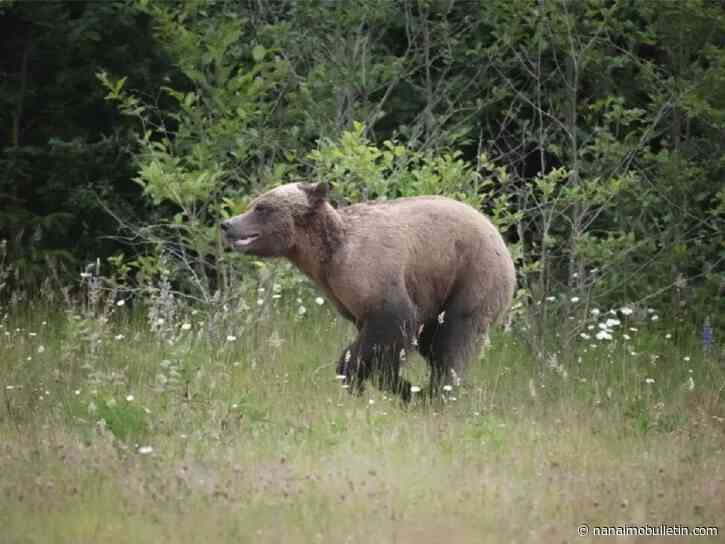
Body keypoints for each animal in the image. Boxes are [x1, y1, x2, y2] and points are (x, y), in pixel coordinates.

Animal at [221, 182, 516, 402]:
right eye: (254, 203)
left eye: (262, 207)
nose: (228, 224)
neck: (326, 257)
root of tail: (501, 239)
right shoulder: (345, 297)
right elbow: (384, 347)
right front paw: (397, 384)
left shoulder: (373, 276)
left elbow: (390, 326)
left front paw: (365, 378)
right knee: (433, 343)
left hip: (472, 278)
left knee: (453, 341)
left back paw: (440, 392)